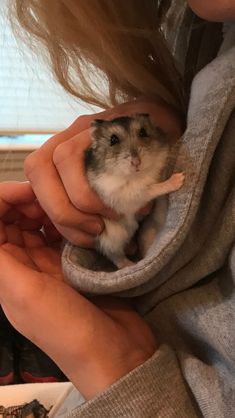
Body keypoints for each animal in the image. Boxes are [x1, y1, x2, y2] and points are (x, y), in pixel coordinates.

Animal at [85, 112, 185, 270]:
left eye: (143, 132)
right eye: (113, 139)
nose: (137, 162)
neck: (137, 175)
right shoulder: (131, 196)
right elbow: (153, 188)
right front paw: (179, 178)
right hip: (111, 236)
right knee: (114, 255)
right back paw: (131, 264)